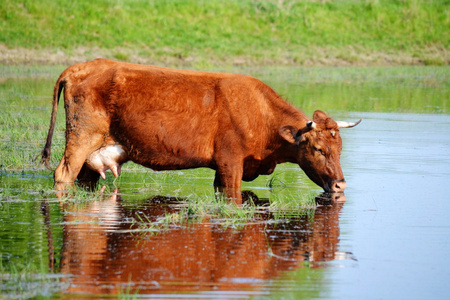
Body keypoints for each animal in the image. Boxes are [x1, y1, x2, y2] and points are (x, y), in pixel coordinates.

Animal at [41, 59, 358, 200]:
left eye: (340, 149)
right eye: (318, 149)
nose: (341, 185)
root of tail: (81, 67)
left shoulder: (222, 168)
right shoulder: (231, 162)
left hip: (92, 155)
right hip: (80, 140)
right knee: (62, 175)